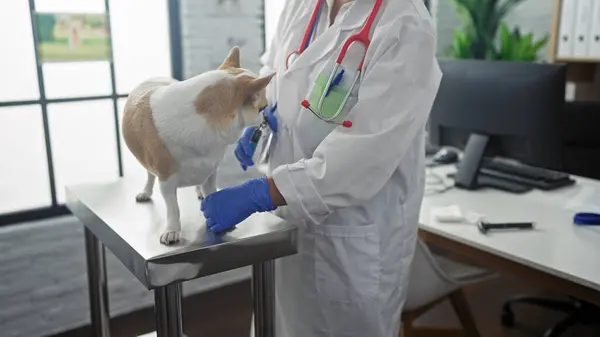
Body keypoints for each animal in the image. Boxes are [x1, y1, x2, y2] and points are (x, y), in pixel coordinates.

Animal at [120, 46, 274, 244]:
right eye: (262, 107)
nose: (266, 117)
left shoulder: (211, 170)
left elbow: (211, 193)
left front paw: (218, 212)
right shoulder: (166, 180)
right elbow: (173, 207)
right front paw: (172, 230)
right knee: (149, 174)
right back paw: (146, 191)